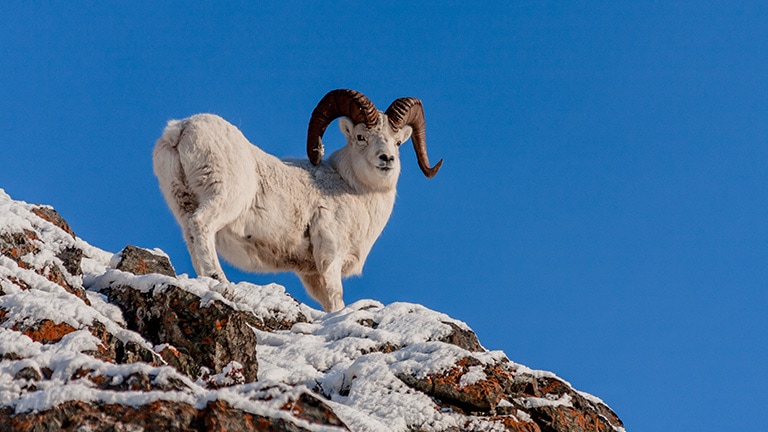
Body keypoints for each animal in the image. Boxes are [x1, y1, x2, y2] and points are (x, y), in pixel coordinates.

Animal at [152, 89, 442, 312]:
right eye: (361, 137)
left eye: (398, 142)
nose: (386, 159)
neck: (352, 187)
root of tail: (182, 129)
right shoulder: (330, 258)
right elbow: (336, 300)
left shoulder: (311, 274)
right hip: (224, 201)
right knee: (201, 225)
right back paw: (219, 281)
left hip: (183, 204)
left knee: (191, 235)